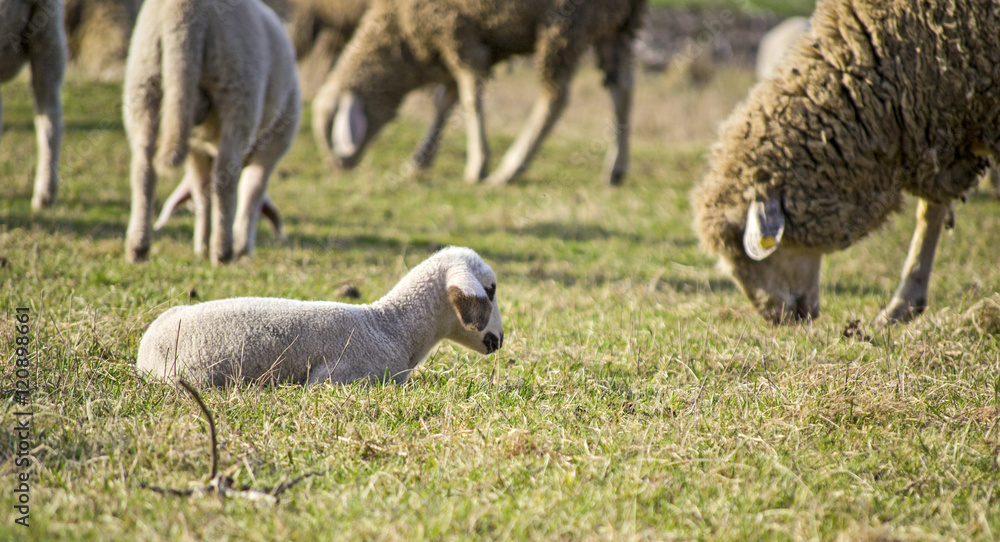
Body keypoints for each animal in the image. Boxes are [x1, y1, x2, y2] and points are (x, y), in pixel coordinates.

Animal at [123, 0, 301, 264]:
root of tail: (186, 9)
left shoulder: (197, 149)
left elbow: (201, 189)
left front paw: (201, 245)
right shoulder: (275, 143)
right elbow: (252, 189)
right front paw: (241, 248)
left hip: (144, 78)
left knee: (144, 167)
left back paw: (138, 248)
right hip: (239, 86)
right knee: (225, 176)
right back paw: (223, 251)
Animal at [312, 0, 647, 186]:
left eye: (329, 129)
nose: (336, 168)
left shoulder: (458, 33)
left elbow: (470, 99)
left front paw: (477, 165)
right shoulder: (449, 45)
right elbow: (445, 103)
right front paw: (419, 160)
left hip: (566, 22)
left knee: (555, 96)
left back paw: (508, 170)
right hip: (616, 24)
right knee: (623, 88)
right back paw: (616, 169)